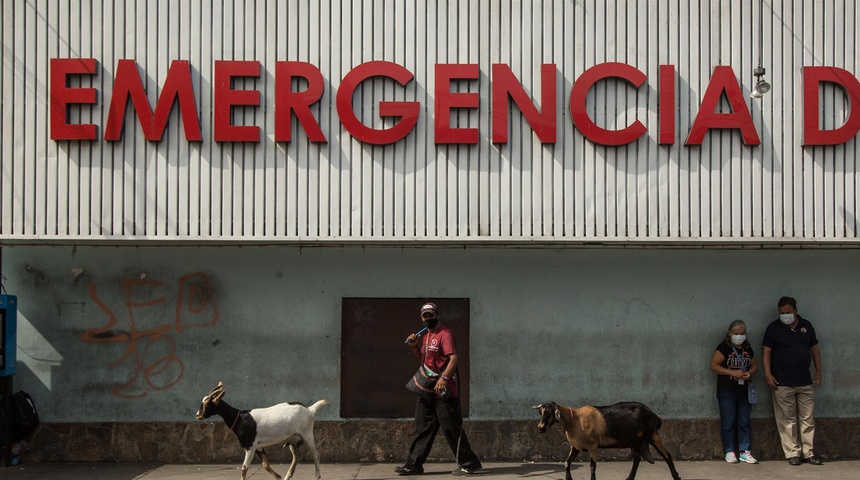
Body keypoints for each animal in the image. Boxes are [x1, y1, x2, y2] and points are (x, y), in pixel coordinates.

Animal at [197, 382, 328, 480]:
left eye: (207, 404)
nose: (198, 415)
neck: (239, 418)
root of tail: (310, 409)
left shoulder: (250, 446)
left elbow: (244, 467)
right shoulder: (259, 447)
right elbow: (265, 465)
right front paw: (279, 477)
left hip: (306, 433)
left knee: (315, 453)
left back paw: (317, 476)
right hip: (293, 439)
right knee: (296, 456)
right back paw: (287, 476)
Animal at [536, 402, 680, 480]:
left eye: (549, 413)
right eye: (541, 412)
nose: (540, 428)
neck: (575, 420)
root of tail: (654, 414)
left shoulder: (593, 446)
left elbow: (592, 467)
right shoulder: (575, 447)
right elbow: (566, 463)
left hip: (652, 434)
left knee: (667, 455)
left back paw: (676, 476)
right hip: (636, 441)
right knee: (637, 459)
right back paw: (629, 478)